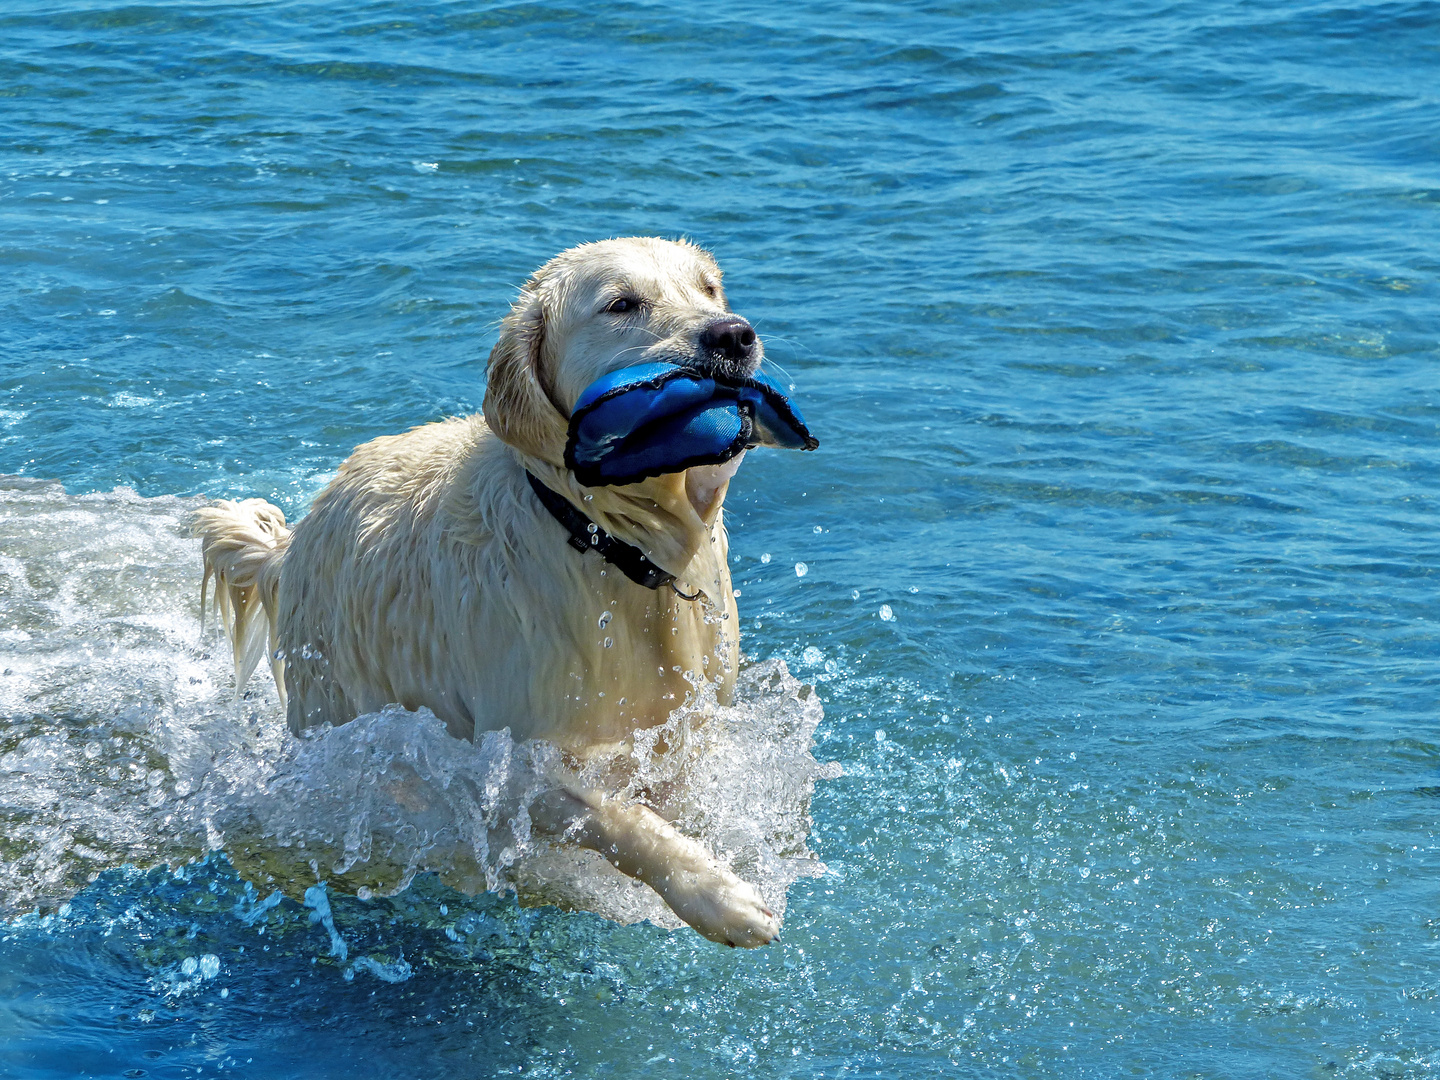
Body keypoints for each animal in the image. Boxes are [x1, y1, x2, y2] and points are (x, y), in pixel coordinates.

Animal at [190, 239, 794, 944]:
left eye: (709, 289)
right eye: (622, 304)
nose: (734, 335)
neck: (611, 545)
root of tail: (289, 546)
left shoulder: (690, 725)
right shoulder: (509, 762)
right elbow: (614, 817)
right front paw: (720, 897)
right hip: (339, 713)